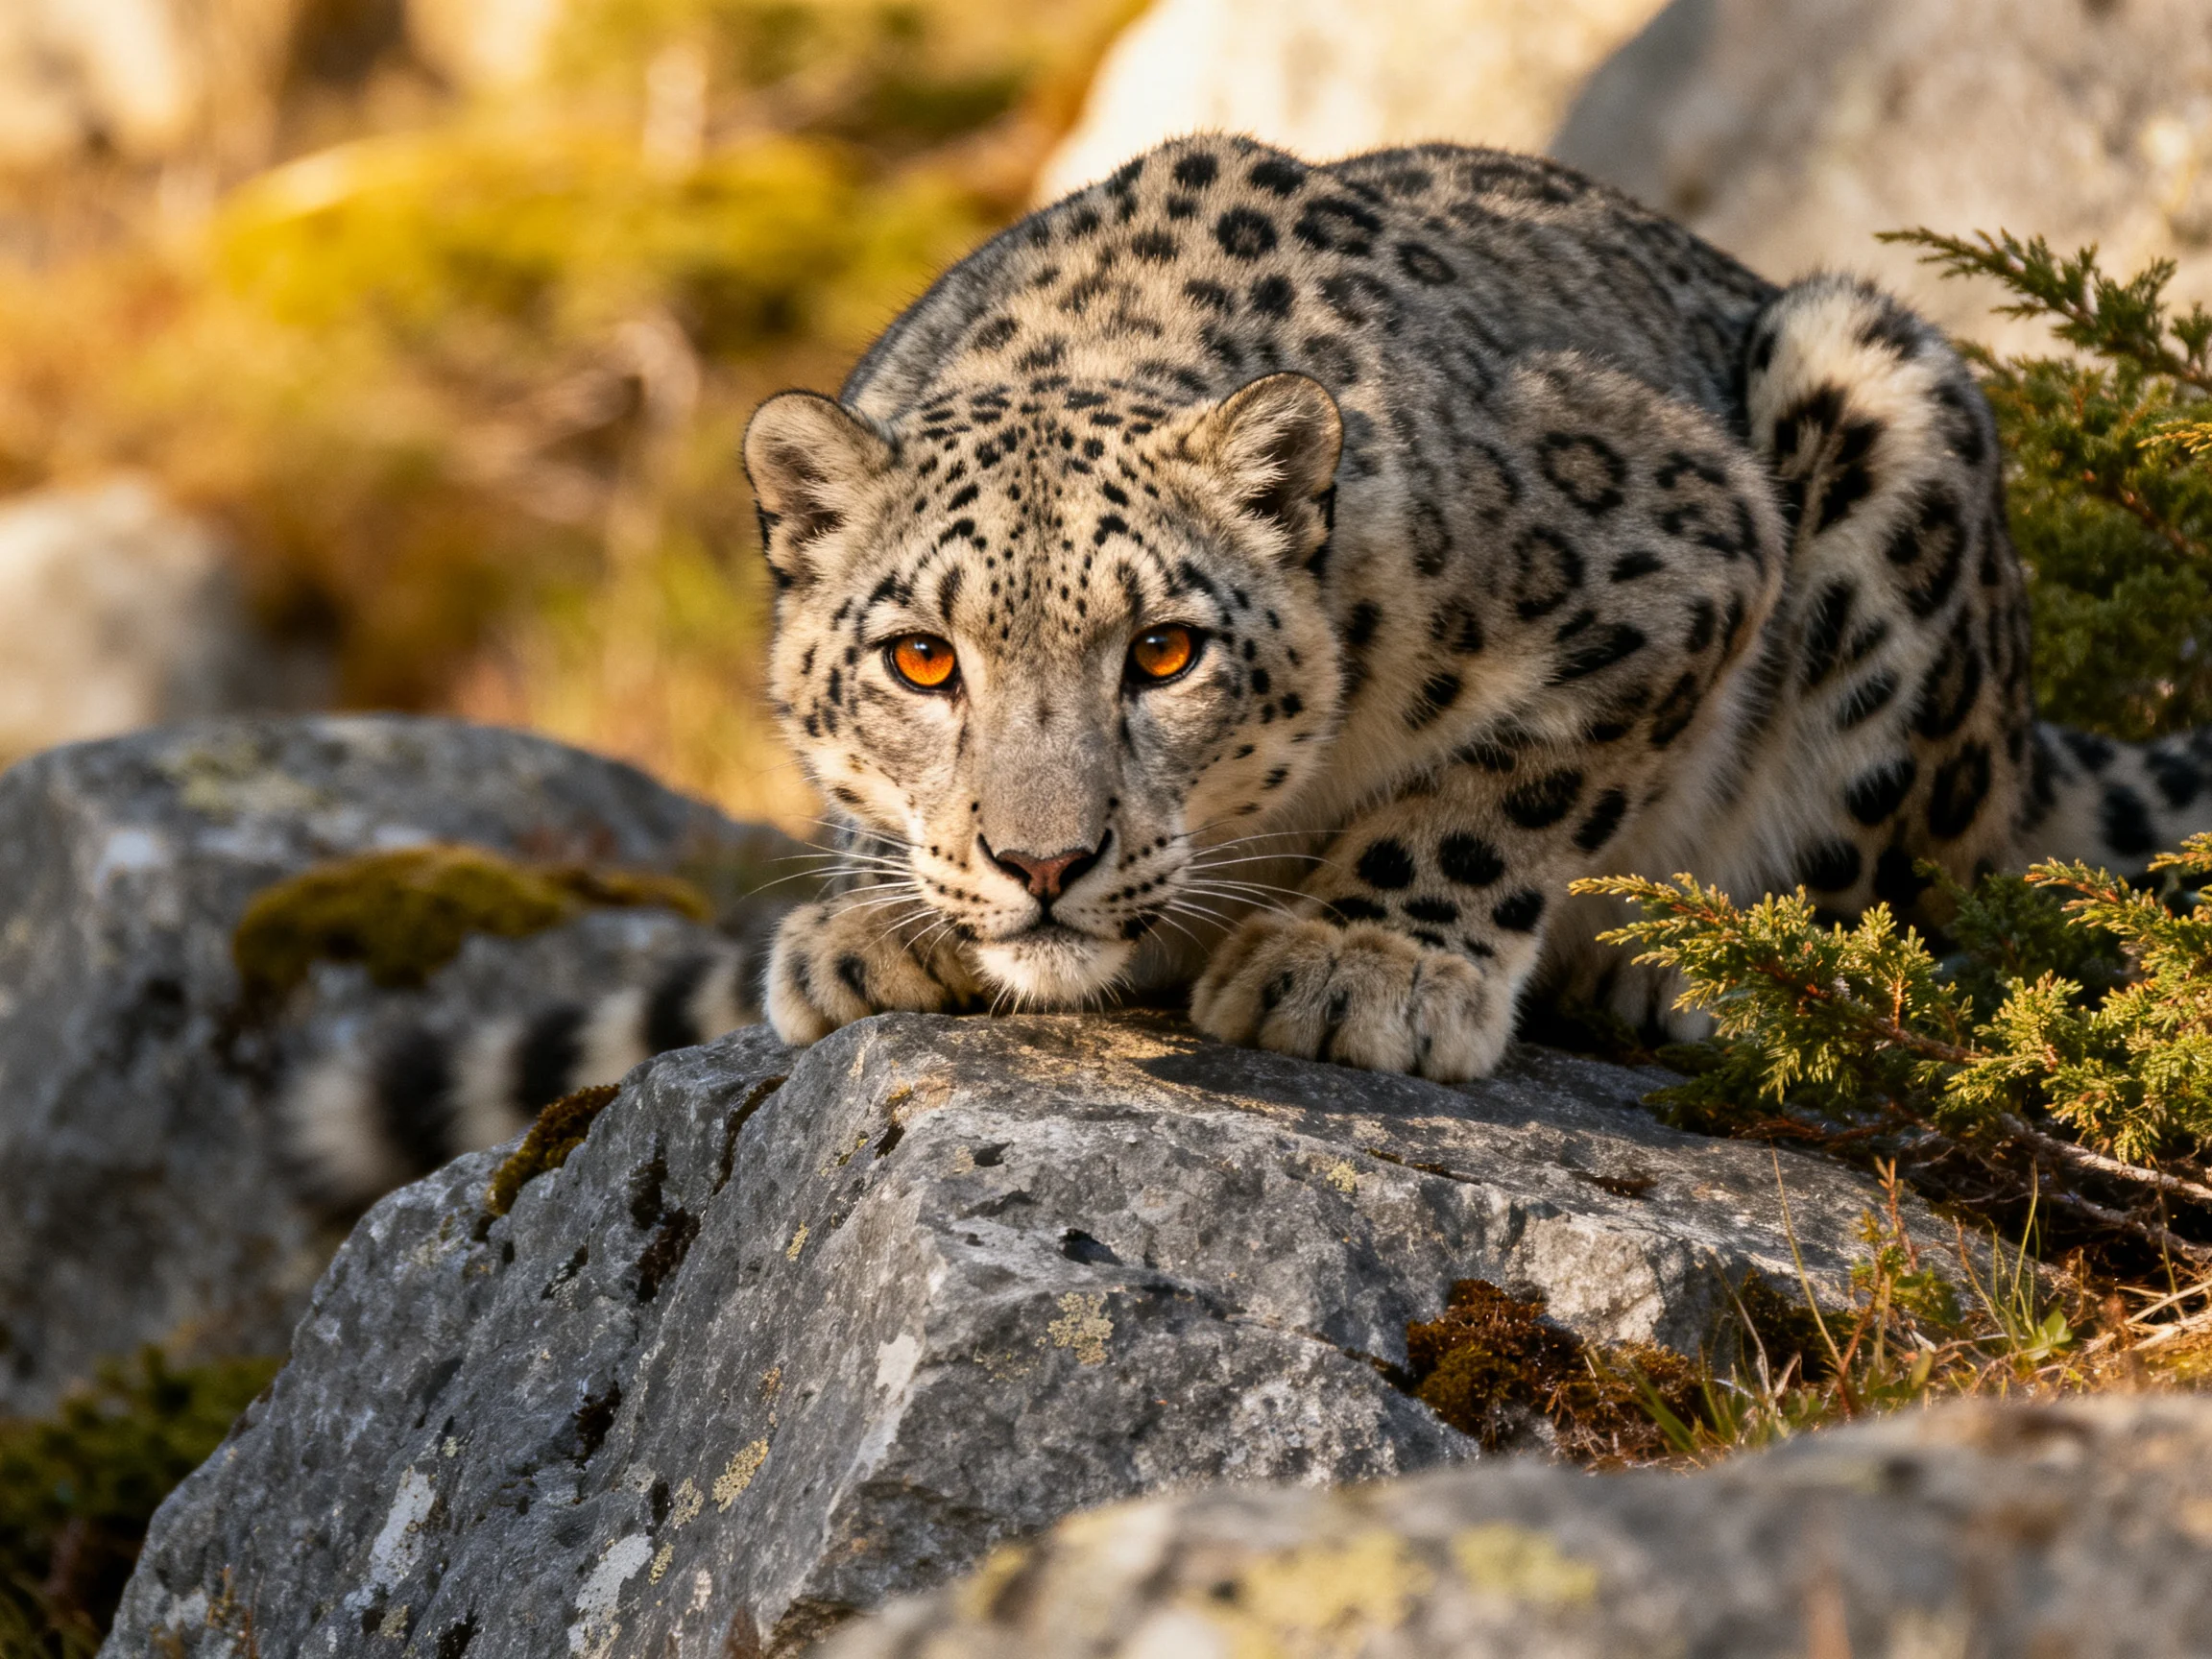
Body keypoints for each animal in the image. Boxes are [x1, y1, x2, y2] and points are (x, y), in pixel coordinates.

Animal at [285, 135, 2212, 1206]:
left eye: (1163, 649)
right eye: (921, 656)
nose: (1039, 862)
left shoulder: (1677, 557)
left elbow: (1501, 788)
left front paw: (1360, 964)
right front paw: (873, 930)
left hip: (1879, 410)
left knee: (1909, 875)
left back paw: (1714, 968)